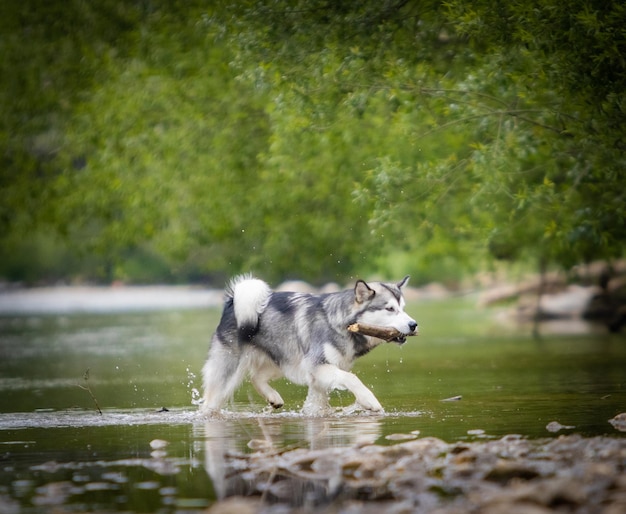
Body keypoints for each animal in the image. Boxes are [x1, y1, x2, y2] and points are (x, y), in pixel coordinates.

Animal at [200, 274, 414, 414]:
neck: (338, 323)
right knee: (210, 402)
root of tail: (232, 301)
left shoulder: (319, 375)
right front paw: (369, 400)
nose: (414, 324)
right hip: (228, 374)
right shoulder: (317, 366)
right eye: (390, 309)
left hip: (283, 361)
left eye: (403, 308)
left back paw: (273, 397)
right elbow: (352, 378)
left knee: (256, 377)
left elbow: (317, 406)